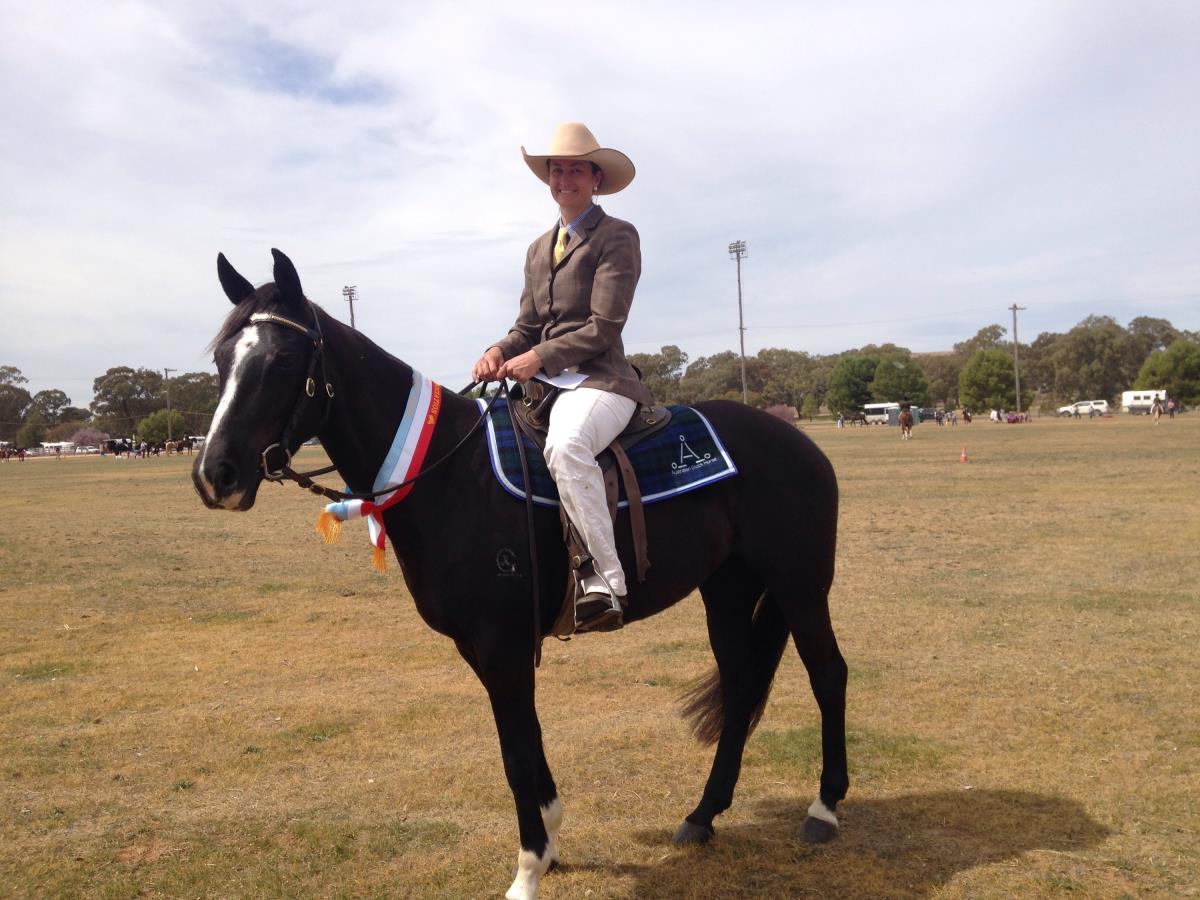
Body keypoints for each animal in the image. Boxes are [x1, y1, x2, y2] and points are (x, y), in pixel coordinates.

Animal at [192, 250, 847, 900]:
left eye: (280, 360)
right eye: (223, 361)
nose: (214, 475)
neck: (448, 474)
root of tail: (795, 437)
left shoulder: (501, 645)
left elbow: (513, 752)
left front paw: (529, 867)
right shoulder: (485, 649)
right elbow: (528, 741)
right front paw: (551, 839)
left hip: (800, 586)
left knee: (828, 674)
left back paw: (823, 808)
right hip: (728, 590)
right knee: (740, 686)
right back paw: (703, 815)